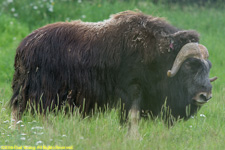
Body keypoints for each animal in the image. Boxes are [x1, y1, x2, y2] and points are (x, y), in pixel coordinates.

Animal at [9, 10, 217, 125]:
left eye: (208, 66)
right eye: (190, 65)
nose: (205, 95)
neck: (157, 52)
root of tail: (24, 45)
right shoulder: (131, 90)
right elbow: (132, 117)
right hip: (40, 92)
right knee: (23, 112)